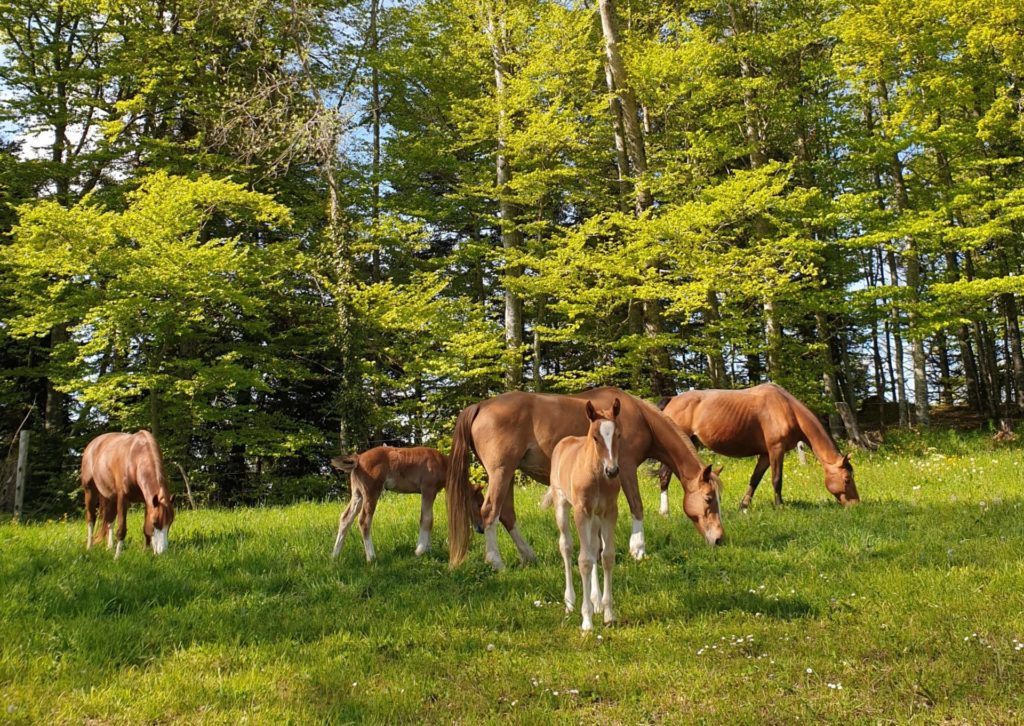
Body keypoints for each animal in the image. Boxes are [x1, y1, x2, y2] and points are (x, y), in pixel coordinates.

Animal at [330, 446, 486, 562]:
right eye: (479, 504)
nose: (481, 529)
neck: (441, 463)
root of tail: (359, 458)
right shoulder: (428, 489)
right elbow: (427, 519)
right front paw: (420, 550)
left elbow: (428, 518)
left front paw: (428, 549)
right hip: (371, 492)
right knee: (364, 520)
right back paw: (371, 557)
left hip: (358, 494)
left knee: (345, 518)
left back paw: (335, 555)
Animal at [446, 387, 724, 570]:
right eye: (709, 499)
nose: (720, 538)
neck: (639, 417)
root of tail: (480, 406)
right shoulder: (625, 468)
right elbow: (637, 506)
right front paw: (638, 549)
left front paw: (599, 550)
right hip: (501, 472)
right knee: (490, 512)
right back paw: (496, 562)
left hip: (507, 475)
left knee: (506, 514)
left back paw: (528, 556)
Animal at [548, 399, 622, 631]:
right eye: (595, 437)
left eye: (618, 435)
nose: (612, 471)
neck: (597, 475)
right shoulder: (581, 512)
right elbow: (584, 560)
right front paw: (587, 620)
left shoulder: (609, 512)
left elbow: (606, 556)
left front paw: (608, 614)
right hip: (562, 505)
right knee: (566, 546)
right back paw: (570, 602)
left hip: (595, 518)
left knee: (594, 547)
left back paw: (596, 600)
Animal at [656, 383, 860, 510]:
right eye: (847, 479)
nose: (856, 504)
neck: (787, 408)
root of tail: (672, 399)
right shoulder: (776, 449)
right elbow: (776, 479)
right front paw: (780, 506)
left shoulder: (765, 454)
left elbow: (755, 479)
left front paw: (744, 505)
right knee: (664, 477)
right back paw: (665, 512)